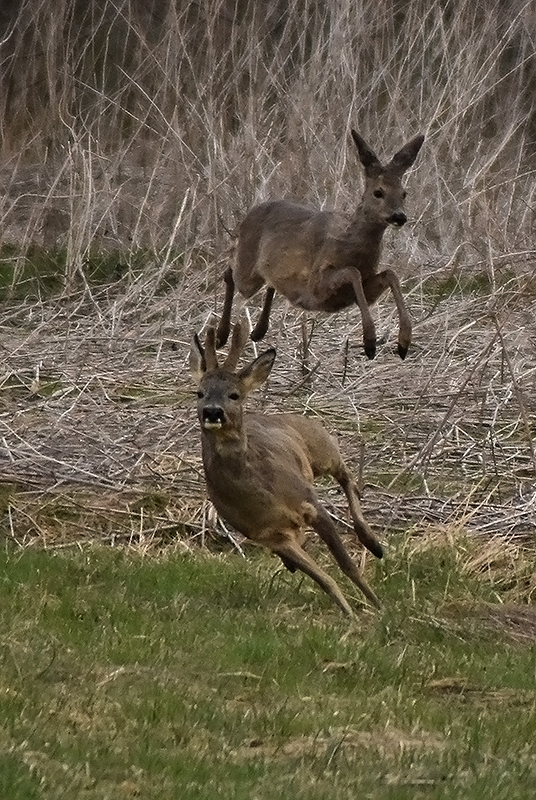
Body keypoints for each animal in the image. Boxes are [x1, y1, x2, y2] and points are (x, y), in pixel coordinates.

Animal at [191, 320, 384, 620]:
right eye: (199, 393)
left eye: (234, 395)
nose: (212, 412)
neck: (264, 493)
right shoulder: (271, 536)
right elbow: (324, 579)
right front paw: (350, 614)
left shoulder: (311, 504)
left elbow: (347, 565)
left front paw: (378, 606)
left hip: (321, 447)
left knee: (346, 475)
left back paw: (373, 543)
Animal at [216, 129, 426, 360]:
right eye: (378, 192)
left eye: (404, 193)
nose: (399, 216)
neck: (350, 243)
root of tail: (248, 215)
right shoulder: (316, 286)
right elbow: (352, 272)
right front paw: (369, 342)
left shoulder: (363, 290)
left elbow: (390, 274)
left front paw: (403, 343)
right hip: (248, 272)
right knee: (230, 271)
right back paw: (220, 336)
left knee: (268, 282)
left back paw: (257, 331)